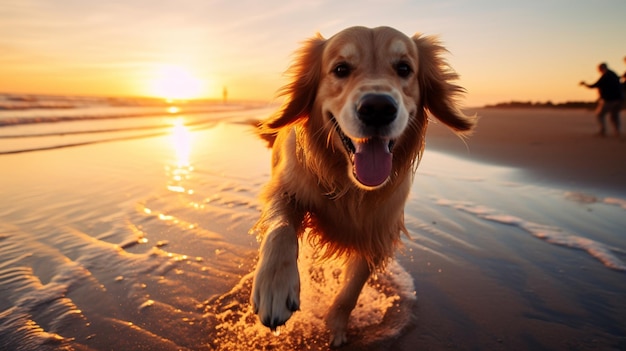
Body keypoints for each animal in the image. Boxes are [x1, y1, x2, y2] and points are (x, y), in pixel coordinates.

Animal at [249, 26, 472, 348]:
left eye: (404, 68)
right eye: (341, 69)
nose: (378, 108)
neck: (349, 184)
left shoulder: (377, 232)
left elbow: (351, 290)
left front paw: (337, 327)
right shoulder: (286, 190)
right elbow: (280, 230)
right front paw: (275, 288)